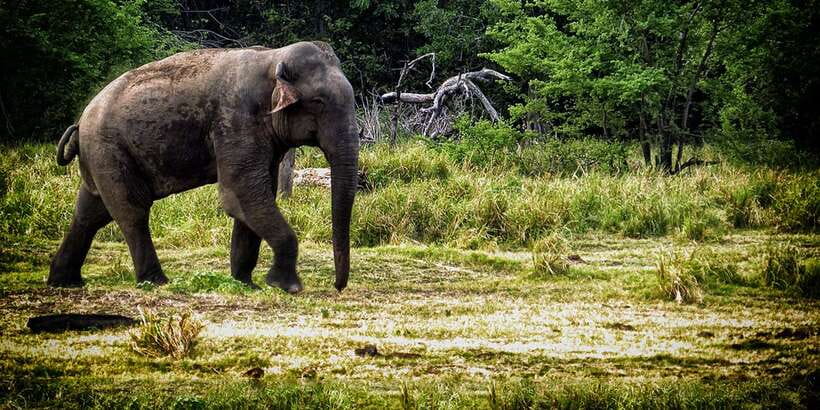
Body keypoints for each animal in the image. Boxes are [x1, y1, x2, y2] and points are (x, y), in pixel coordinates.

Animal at [48, 41, 359, 294]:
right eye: (318, 102)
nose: (337, 286)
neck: (273, 57)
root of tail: (80, 122)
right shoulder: (236, 120)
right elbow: (240, 195)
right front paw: (286, 286)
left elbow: (255, 198)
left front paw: (245, 284)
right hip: (109, 150)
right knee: (131, 211)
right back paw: (156, 282)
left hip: (101, 157)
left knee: (90, 213)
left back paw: (64, 281)